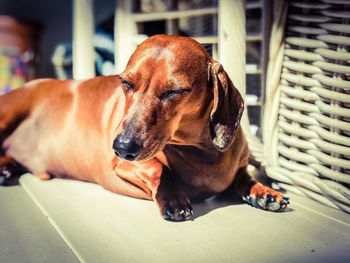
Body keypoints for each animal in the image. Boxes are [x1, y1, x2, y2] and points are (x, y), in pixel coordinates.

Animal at [1, 34, 288, 221]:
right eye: (125, 83)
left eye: (174, 91)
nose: (121, 146)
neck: (201, 150)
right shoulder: (123, 164)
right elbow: (158, 168)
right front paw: (172, 197)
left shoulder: (236, 169)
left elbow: (244, 178)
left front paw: (265, 192)